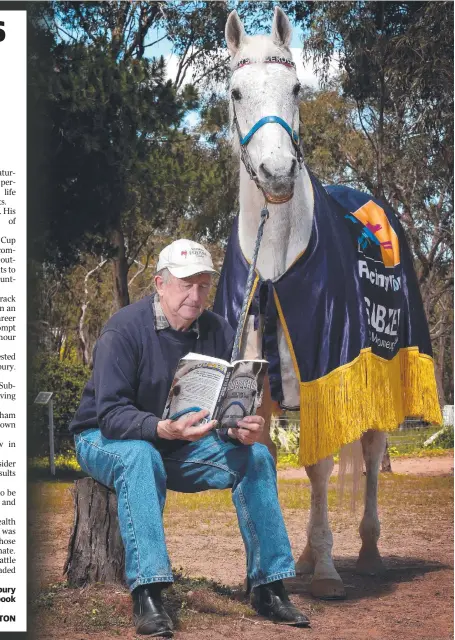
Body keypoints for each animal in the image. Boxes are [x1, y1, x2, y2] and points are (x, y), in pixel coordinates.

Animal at [224, 7, 388, 604]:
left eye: (295, 87)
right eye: (236, 92)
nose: (276, 175)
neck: (275, 265)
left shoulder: (322, 373)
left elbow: (318, 468)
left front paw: (326, 571)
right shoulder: (256, 387)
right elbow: (265, 463)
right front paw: (271, 571)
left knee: (370, 455)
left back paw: (367, 551)